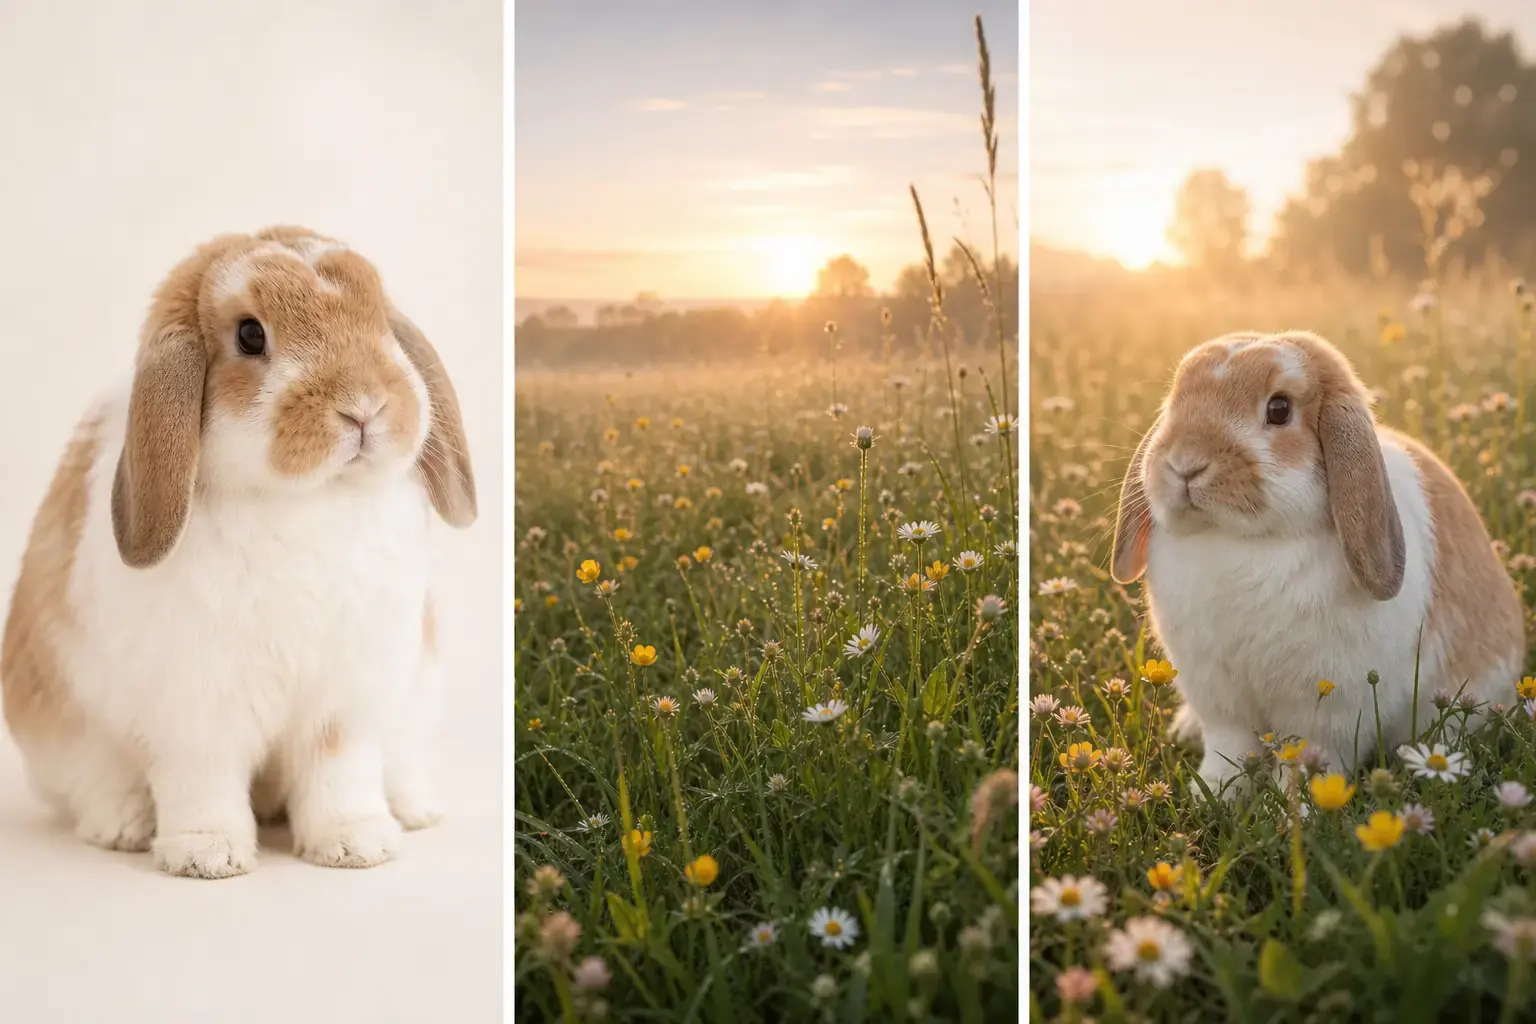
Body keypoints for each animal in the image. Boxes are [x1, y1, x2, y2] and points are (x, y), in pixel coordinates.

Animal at [0, 226, 477, 877]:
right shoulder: (197, 708)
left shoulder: (344, 701)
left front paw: (356, 846)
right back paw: (122, 827)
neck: (304, 499)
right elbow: (204, 780)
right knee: (96, 782)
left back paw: (415, 810)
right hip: (65, 729)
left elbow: (338, 773)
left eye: (379, 317)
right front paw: (208, 855)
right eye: (251, 335)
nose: (364, 406)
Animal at [1110, 330, 1523, 798]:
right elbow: (1227, 749)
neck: (1242, 541)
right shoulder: (1219, 698)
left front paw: (1302, 807)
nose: (1185, 464)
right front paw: (1213, 795)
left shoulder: (1327, 711)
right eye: (1175, 399)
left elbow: (1309, 761)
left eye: (1279, 409)